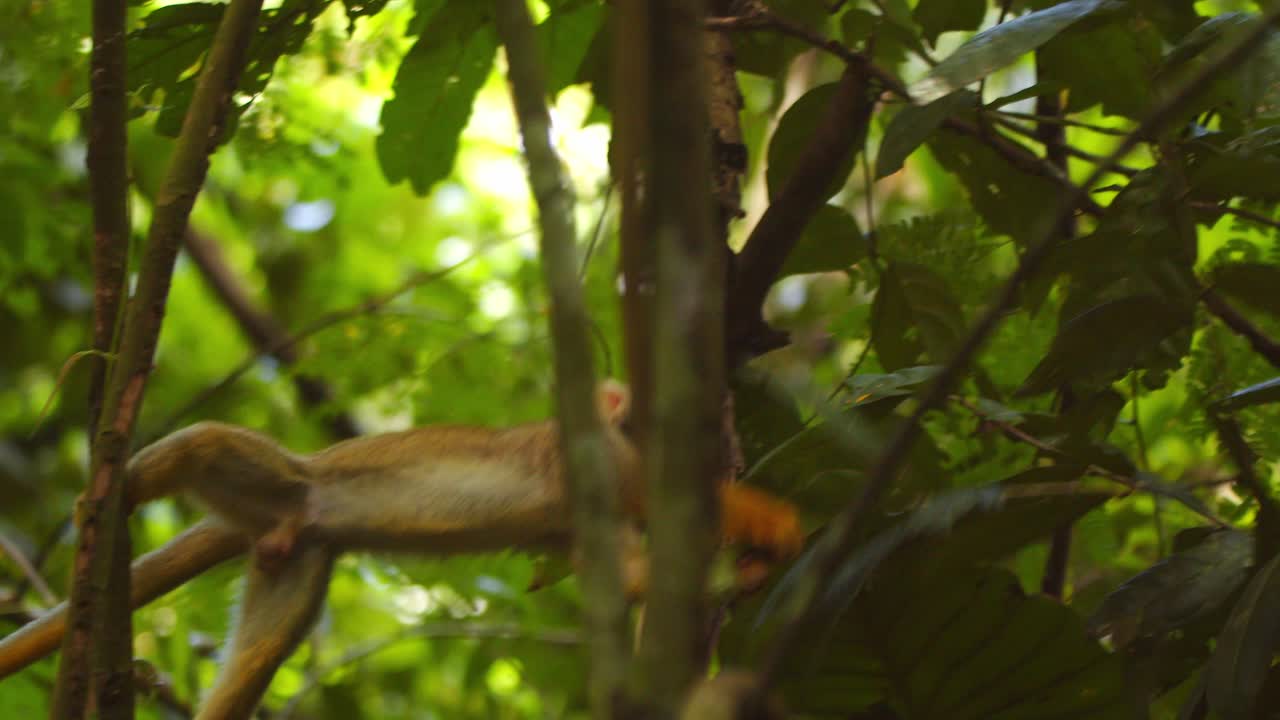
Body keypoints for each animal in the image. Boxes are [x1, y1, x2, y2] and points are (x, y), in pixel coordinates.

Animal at [0, 382, 803, 719]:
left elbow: (631, 574)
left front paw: (748, 570)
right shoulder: (605, 457)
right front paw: (776, 536)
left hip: (298, 548)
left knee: (265, 647)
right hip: (283, 479)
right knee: (206, 444)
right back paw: (110, 493)